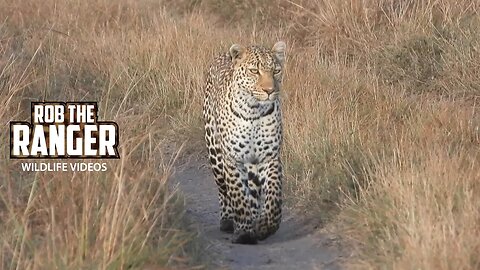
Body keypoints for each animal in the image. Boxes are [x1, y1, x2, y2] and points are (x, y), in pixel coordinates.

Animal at [202, 41, 284, 245]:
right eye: (254, 71)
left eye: (276, 71)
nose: (270, 90)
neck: (253, 110)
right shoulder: (233, 159)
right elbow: (238, 193)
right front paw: (245, 232)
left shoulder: (269, 157)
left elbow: (274, 195)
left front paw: (265, 226)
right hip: (215, 152)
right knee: (223, 189)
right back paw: (228, 220)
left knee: (253, 191)